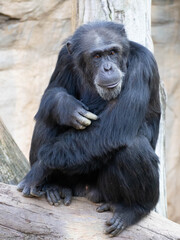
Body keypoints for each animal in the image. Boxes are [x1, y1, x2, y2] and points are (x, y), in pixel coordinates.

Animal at [17, 22, 160, 236]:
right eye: (97, 56)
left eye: (112, 52)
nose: (108, 68)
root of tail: (83, 191)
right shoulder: (64, 58)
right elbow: (52, 90)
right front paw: (66, 107)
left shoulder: (142, 65)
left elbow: (112, 128)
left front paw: (39, 169)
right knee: (47, 117)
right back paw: (54, 187)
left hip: (103, 192)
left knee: (134, 147)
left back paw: (134, 209)